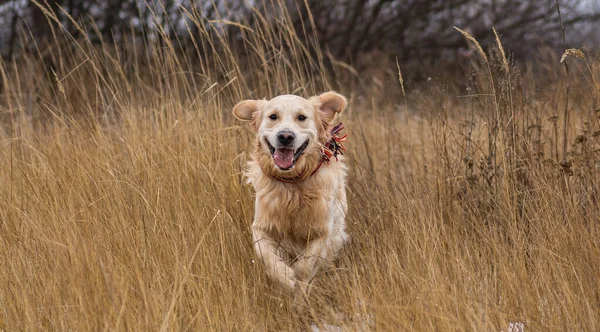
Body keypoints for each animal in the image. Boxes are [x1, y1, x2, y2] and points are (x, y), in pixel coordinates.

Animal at [232, 91, 350, 300]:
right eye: (273, 116)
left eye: (301, 117)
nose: (285, 136)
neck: (292, 184)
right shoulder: (261, 225)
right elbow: (266, 256)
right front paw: (285, 278)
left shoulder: (322, 231)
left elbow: (305, 266)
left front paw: (299, 293)